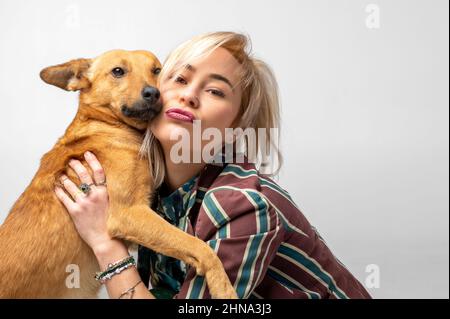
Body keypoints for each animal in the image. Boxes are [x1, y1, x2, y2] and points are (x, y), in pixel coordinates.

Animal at [0, 50, 237, 300]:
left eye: (157, 70)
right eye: (118, 71)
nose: (153, 93)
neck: (108, 126)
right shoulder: (128, 213)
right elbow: (199, 245)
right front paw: (223, 287)